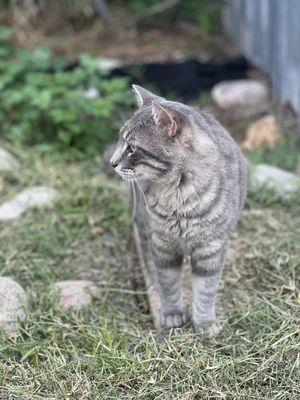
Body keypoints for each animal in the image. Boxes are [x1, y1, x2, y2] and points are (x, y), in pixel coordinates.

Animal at [109, 85, 247, 332]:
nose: (112, 163)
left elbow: (206, 290)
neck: (179, 198)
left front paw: (204, 323)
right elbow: (169, 284)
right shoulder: (162, 246)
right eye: (120, 141)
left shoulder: (211, 249)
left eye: (132, 148)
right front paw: (172, 314)